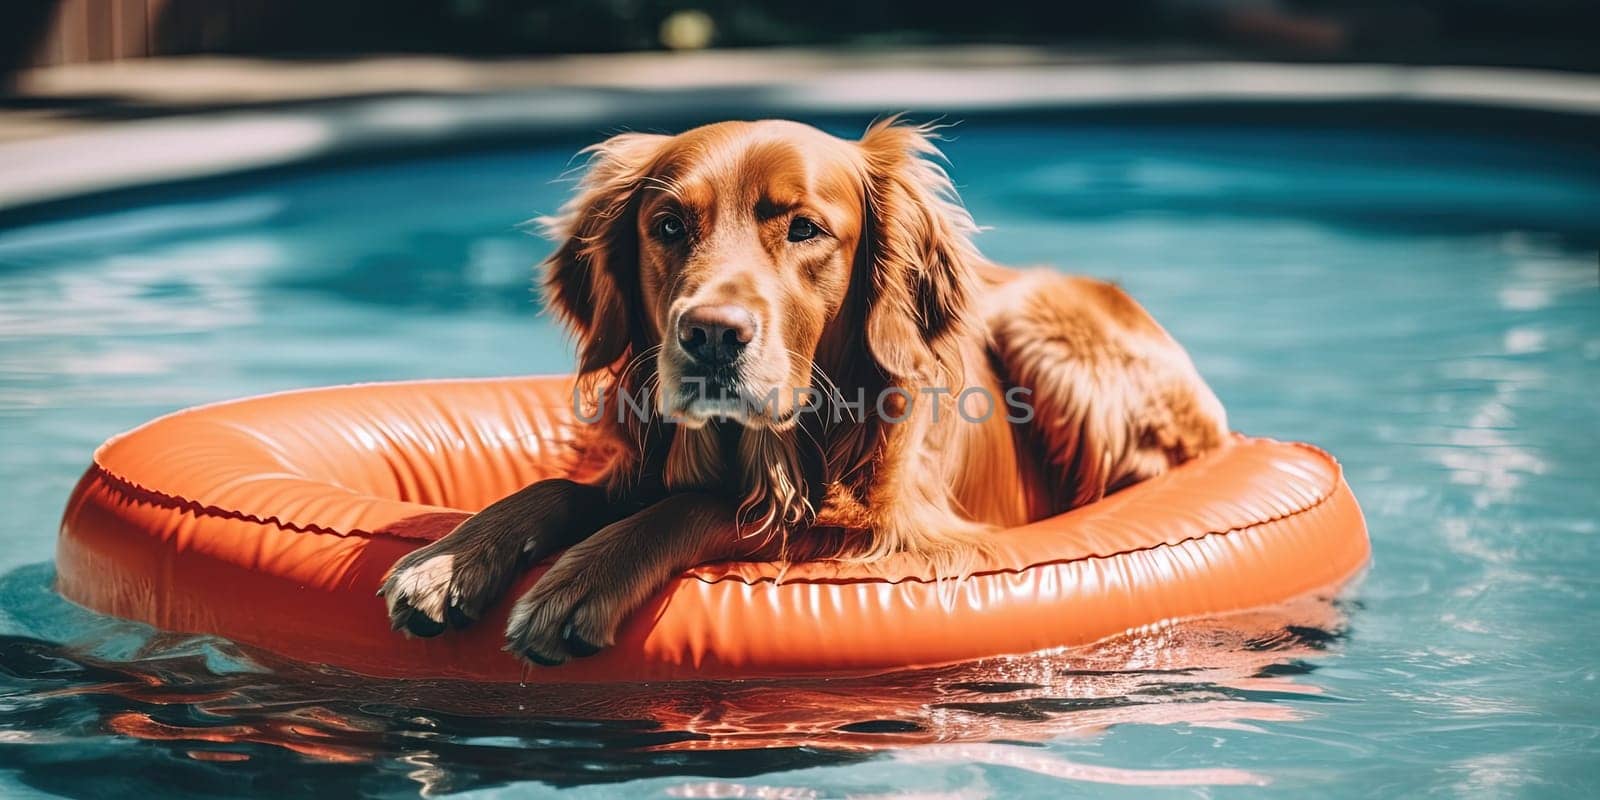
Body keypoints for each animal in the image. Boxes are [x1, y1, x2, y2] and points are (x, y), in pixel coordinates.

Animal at [377, 116, 1222, 668]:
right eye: (669, 225)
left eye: (806, 229)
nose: (712, 335)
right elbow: (561, 488)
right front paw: (452, 558)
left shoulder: (893, 531)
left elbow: (713, 509)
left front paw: (580, 581)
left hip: (1036, 318)